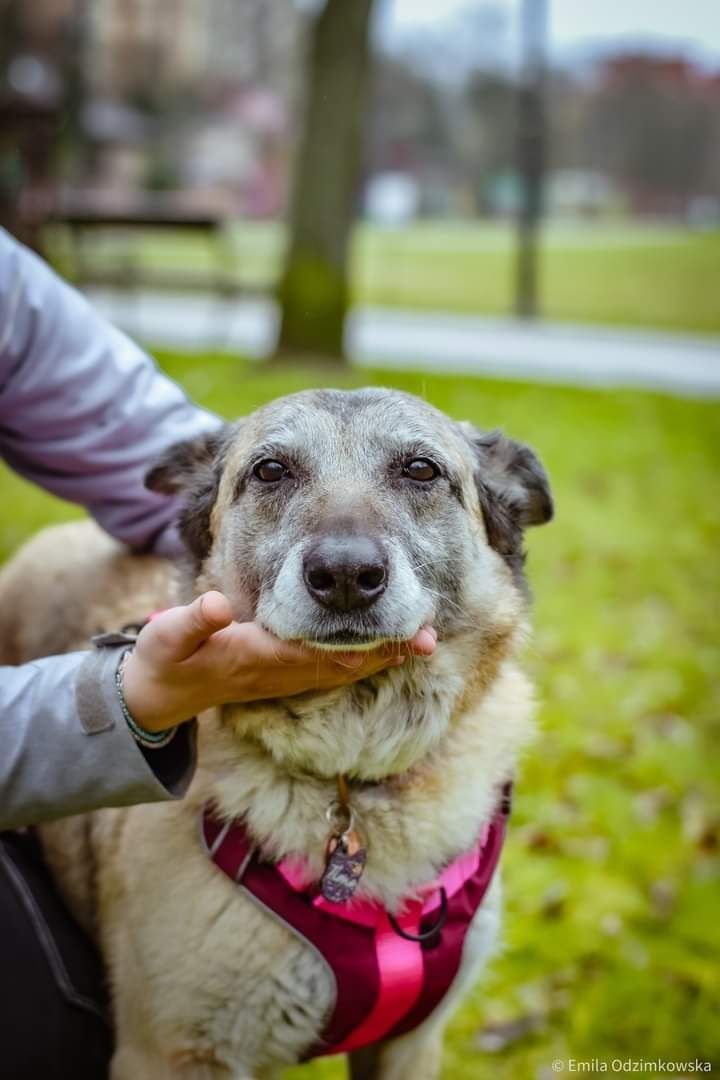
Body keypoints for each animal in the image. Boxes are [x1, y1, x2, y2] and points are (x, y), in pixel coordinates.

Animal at [0, 390, 557, 1080]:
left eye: (420, 470)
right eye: (270, 471)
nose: (345, 574)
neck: (352, 778)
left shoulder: (409, 1044)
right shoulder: (168, 1055)